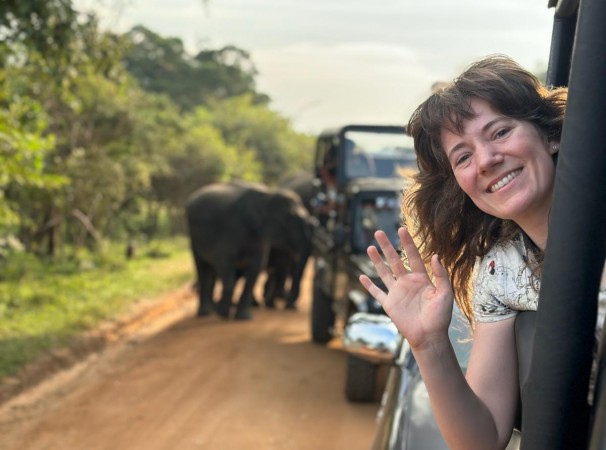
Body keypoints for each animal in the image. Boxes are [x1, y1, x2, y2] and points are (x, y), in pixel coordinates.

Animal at [185, 180, 313, 320]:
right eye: (289, 219)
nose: (290, 306)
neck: (268, 194)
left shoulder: (261, 239)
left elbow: (254, 271)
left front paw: (243, 317)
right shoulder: (230, 230)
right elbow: (226, 267)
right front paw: (222, 312)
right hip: (193, 237)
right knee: (203, 269)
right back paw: (206, 312)